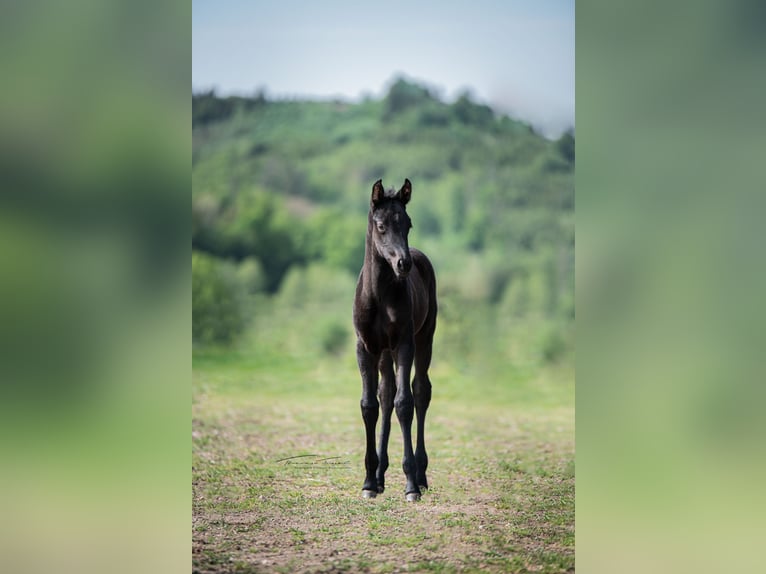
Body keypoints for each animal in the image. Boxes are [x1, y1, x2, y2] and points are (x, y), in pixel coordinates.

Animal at [354, 180, 438, 504]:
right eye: (381, 225)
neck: (379, 297)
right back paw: (379, 477)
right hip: (384, 353)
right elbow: (370, 405)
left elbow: (406, 403)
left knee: (421, 391)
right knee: (386, 393)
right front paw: (368, 482)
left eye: (408, 223)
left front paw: (411, 485)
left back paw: (421, 475)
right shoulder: (365, 348)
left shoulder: (404, 344)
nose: (403, 263)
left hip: (424, 338)